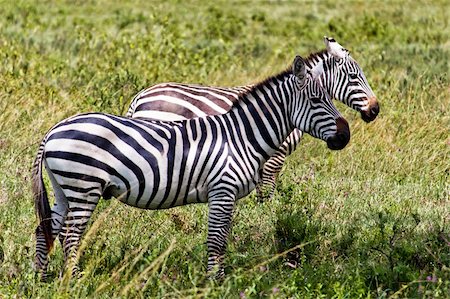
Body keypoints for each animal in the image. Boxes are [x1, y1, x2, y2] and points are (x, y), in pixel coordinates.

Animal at [35, 55, 352, 280]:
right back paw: (75, 279)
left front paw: (218, 277)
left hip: (64, 188)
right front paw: (214, 281)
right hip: (84, 187)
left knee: (46, 229)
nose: (345, 136)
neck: (242, 136)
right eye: (317, 99)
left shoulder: (227, 195)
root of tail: (53, 130)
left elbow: (222, 239)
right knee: (70, 235)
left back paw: (42, 278)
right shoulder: (222, 191)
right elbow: (216, 240)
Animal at [125, 37, 378, 202]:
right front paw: (264, 218)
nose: (375, 110)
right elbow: (266, 193)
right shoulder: (276, 155)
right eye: (354, 76)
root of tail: (139, 97)